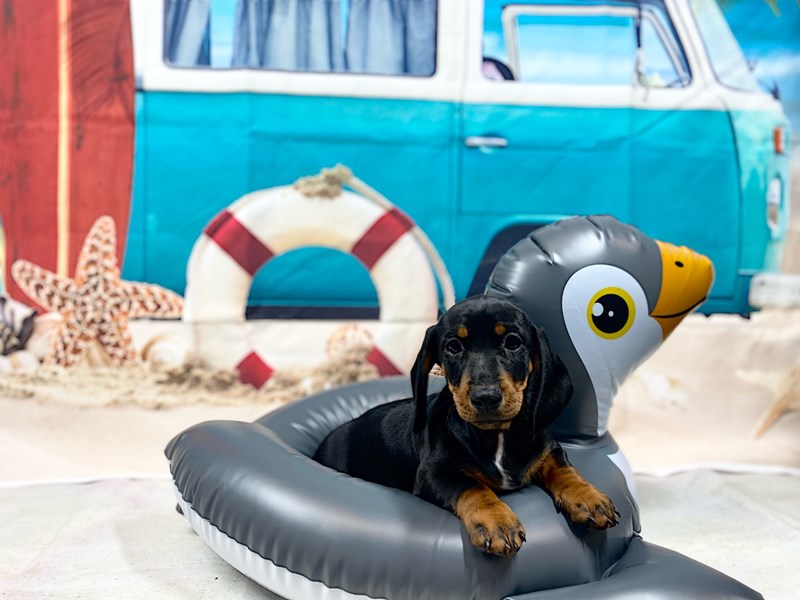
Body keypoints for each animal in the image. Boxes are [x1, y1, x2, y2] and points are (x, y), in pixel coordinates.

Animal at [314, 296, 618, 556]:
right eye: (453, 347)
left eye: (513, 342)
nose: (486, 397)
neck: (496, 436)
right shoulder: (434, 473)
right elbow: (472, 487)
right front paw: (497, 522)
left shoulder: (546, 448)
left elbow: (563, 468)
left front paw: (588, 497)